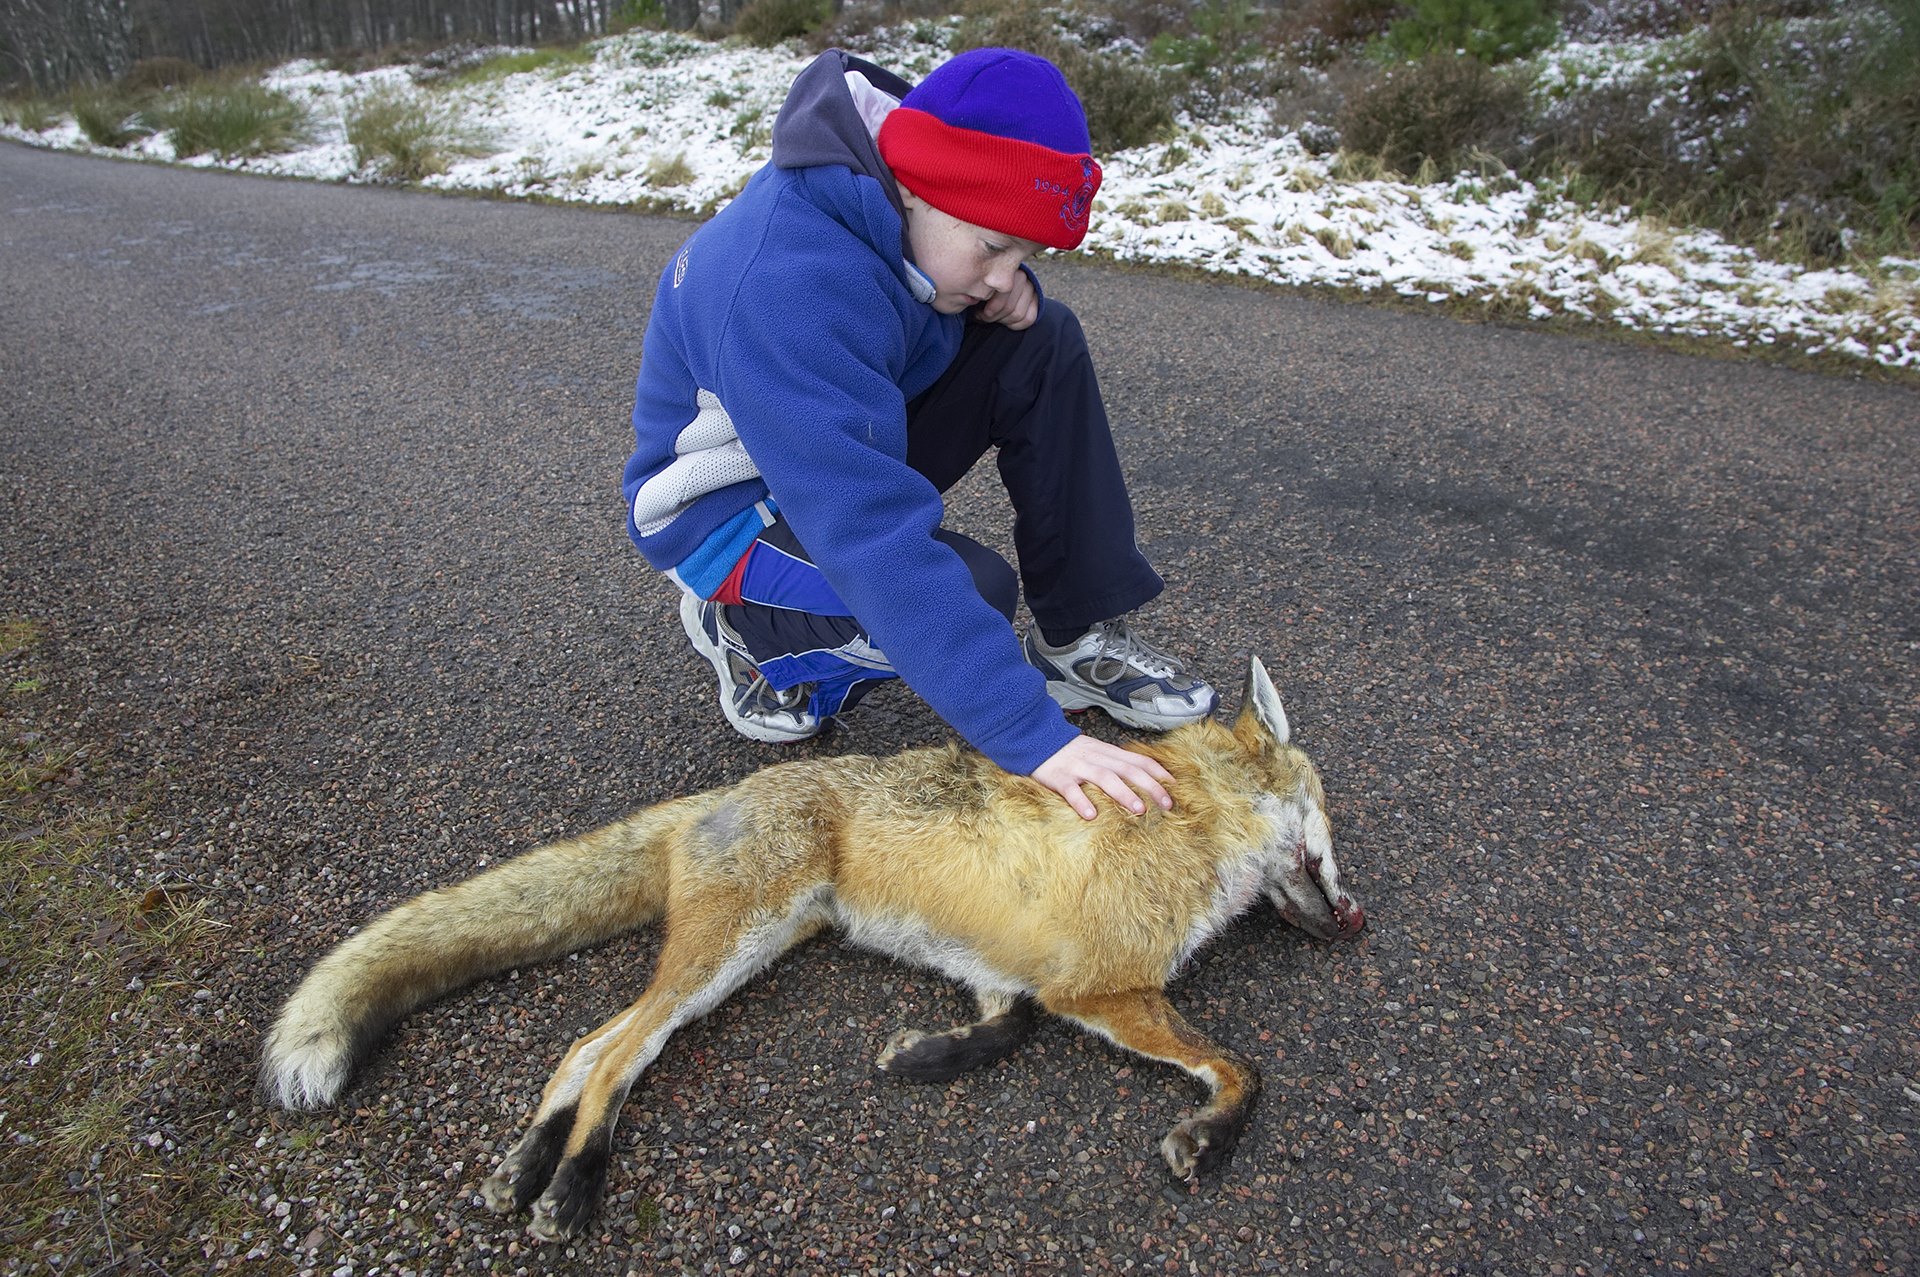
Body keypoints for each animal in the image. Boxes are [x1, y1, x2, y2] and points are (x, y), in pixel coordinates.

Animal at [263, 656, 1367, 1236]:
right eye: (1327, 817)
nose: (1357, 916)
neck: (1195, 824)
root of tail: (725, 792)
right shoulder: (1106, 987)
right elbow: (1244, 1068)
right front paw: (1207, 1140)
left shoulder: (1014, 973)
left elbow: (1002, 1030)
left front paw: (922, 1059)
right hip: (722, 953)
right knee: (618, 1054)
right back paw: (573, 1185)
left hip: (748, 953)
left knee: (584, 1045)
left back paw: (524, 1165)